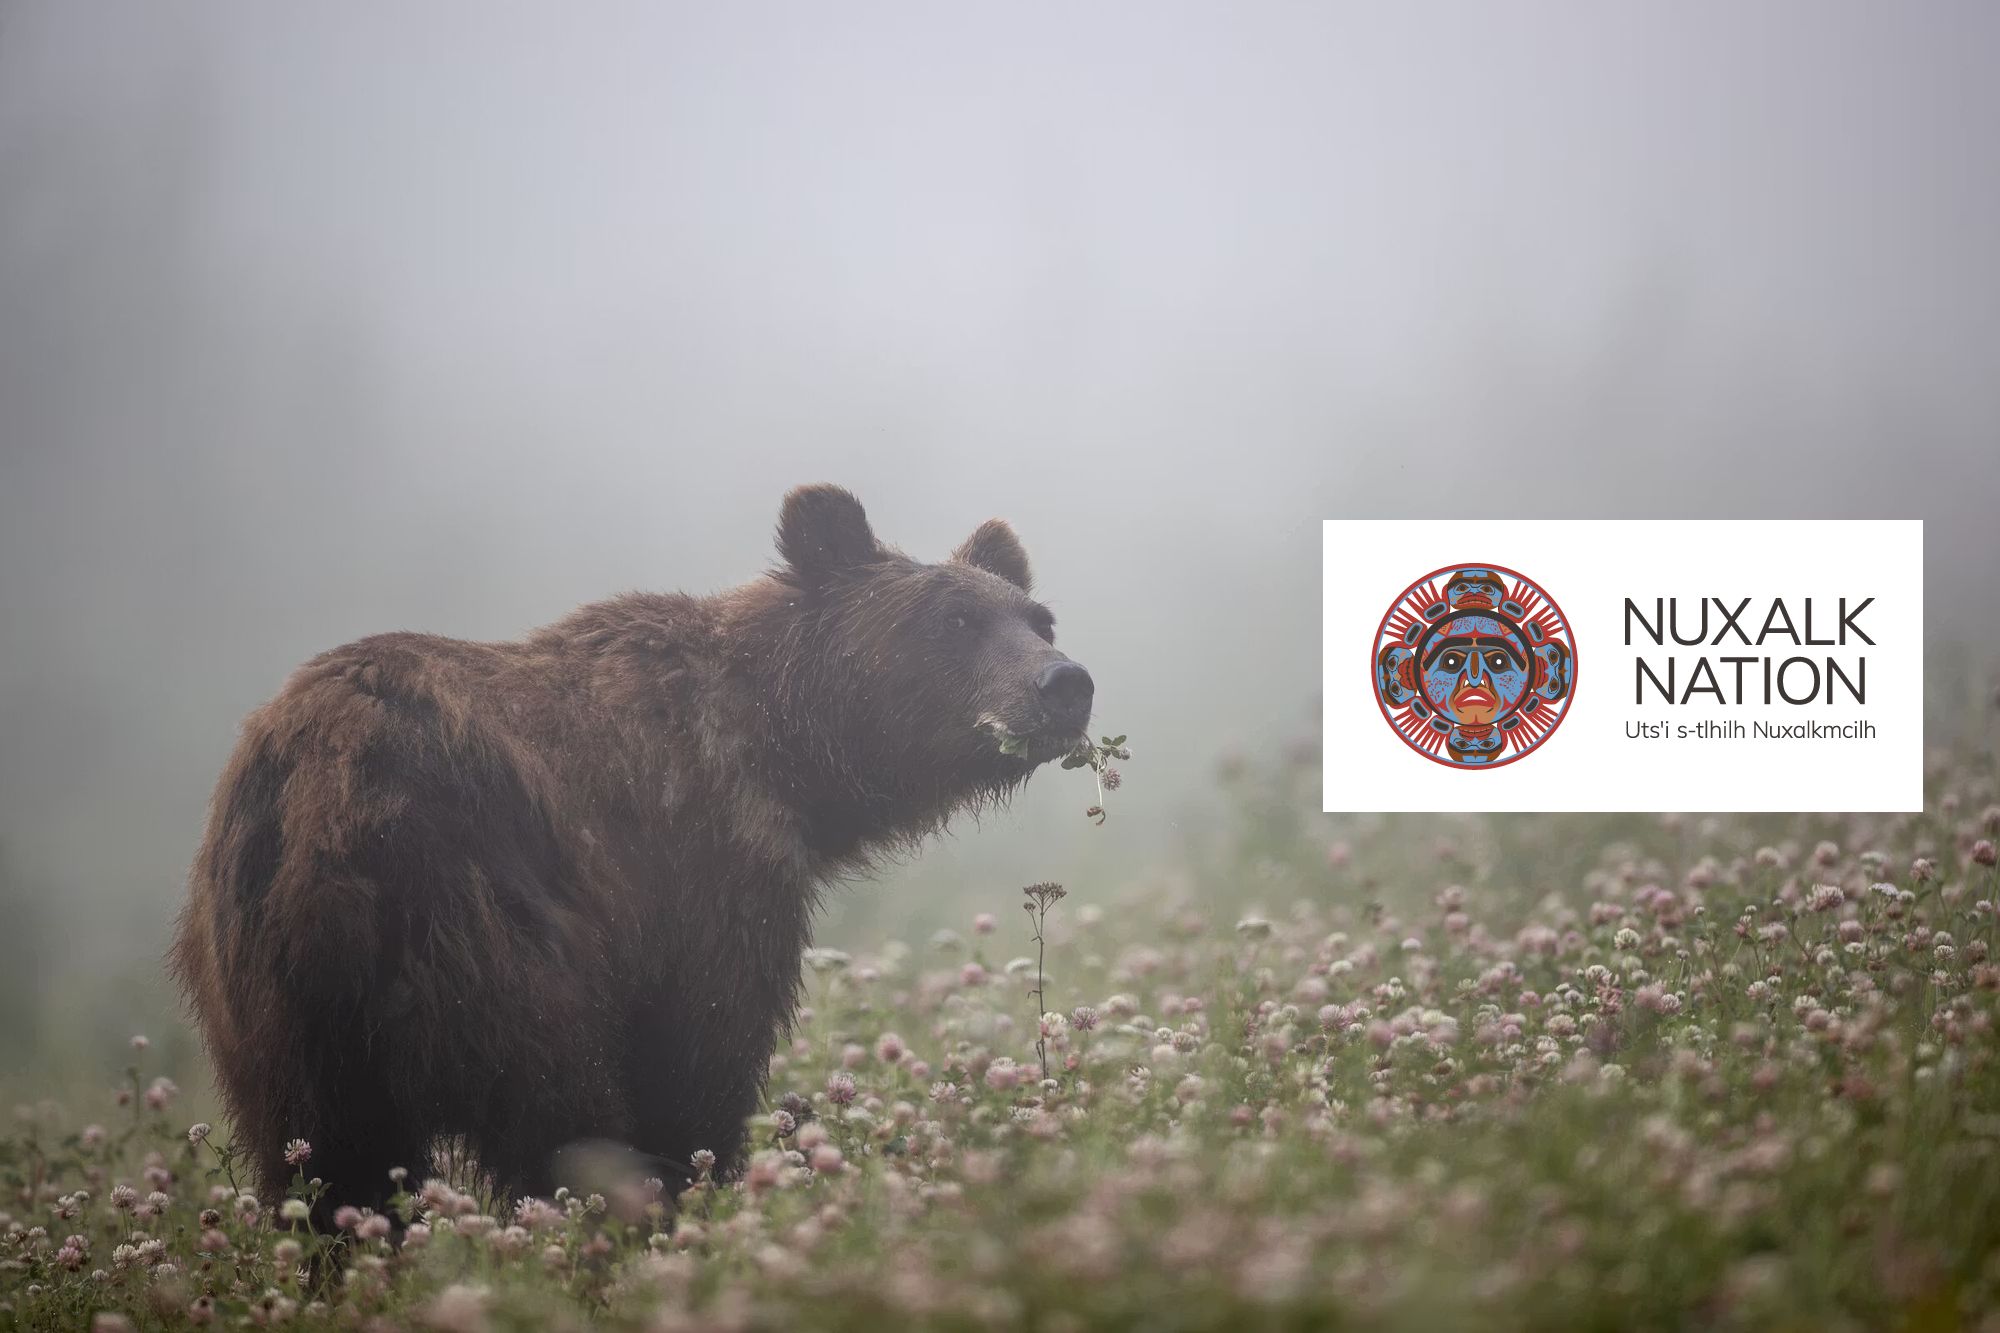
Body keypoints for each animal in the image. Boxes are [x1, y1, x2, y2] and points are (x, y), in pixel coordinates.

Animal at [169, 484, 1093, 1223]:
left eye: (1038, 618)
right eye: (956, 620)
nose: (1066, 683)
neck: (785, 750)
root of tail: (318, 786)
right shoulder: (701, 861)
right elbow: (697, 1057)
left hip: (267, 997)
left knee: (324, 1162)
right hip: (471, 912)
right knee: (556, 1107)